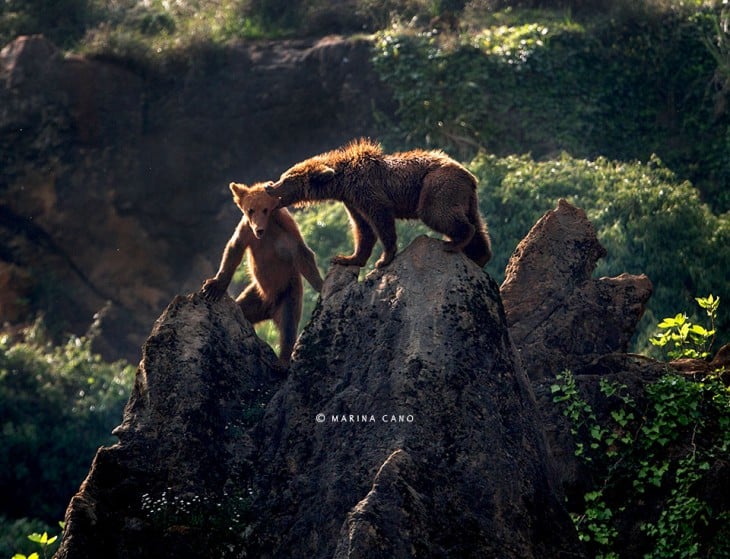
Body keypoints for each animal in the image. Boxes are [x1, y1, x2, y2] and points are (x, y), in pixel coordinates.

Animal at [200, 183, 322, 364]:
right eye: (250, 210)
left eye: (265, 209)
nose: (258, 229)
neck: (267, 230)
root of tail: (269, 309)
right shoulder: (245, 231)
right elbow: (233, 250)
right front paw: (213, 287)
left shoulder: (286, 230)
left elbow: (303, 254)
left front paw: (323, 285)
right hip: (255, 296)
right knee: (243, 310)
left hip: (288, 294)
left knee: (288, 329)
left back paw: (282, 362)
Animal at [262, 140, 490, 272]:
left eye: (286, 179)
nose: (269, 186)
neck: (342, 182)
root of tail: (470, 176)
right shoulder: (352, 202)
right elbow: (363, 229)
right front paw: (346, 258)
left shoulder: (366, 189)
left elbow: (380, 219)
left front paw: (383, 259)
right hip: (465, 198)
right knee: (477, 224)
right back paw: (480, 255)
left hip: (436, 185)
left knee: (436, 213)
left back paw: (454, 243)